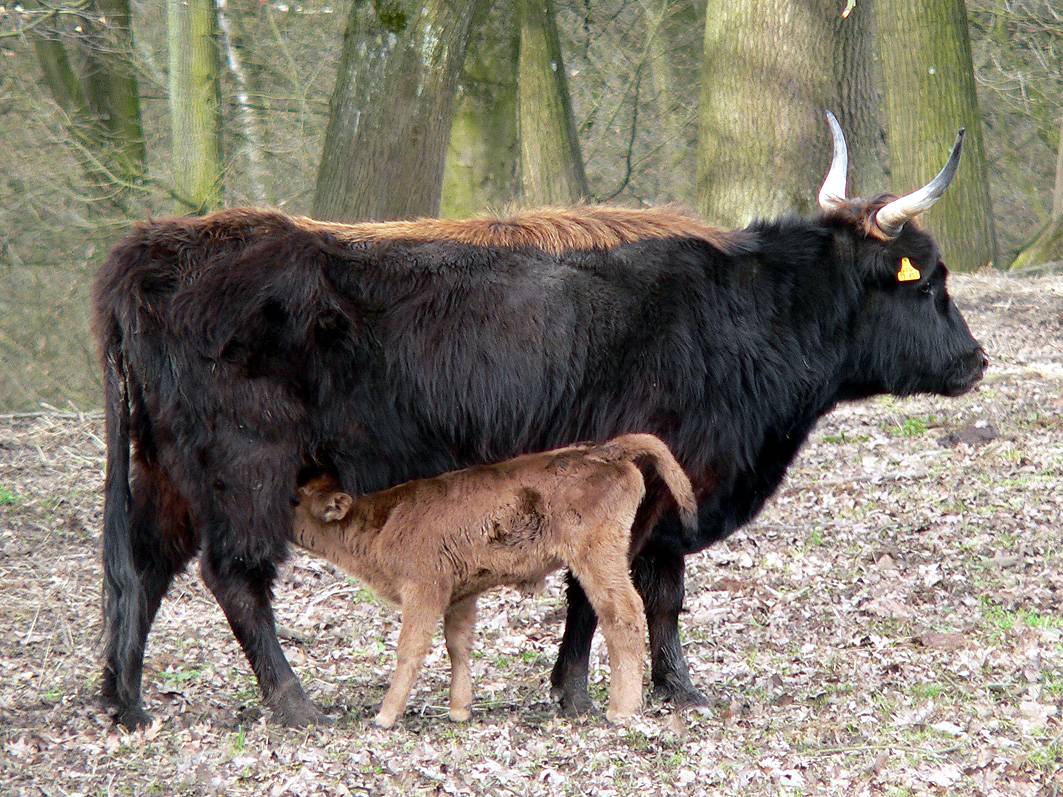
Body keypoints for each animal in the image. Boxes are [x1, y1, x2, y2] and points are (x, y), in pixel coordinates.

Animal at [289, 437, 697, 731]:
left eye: (296, 500)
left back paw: (621, 710)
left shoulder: (423, 591)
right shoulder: (460, 595)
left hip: (598, 559)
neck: (384, 519)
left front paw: (385, 717)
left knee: (622, 614)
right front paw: (459, 709)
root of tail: (602, 451)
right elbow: (458, 645)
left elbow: (410, 649)